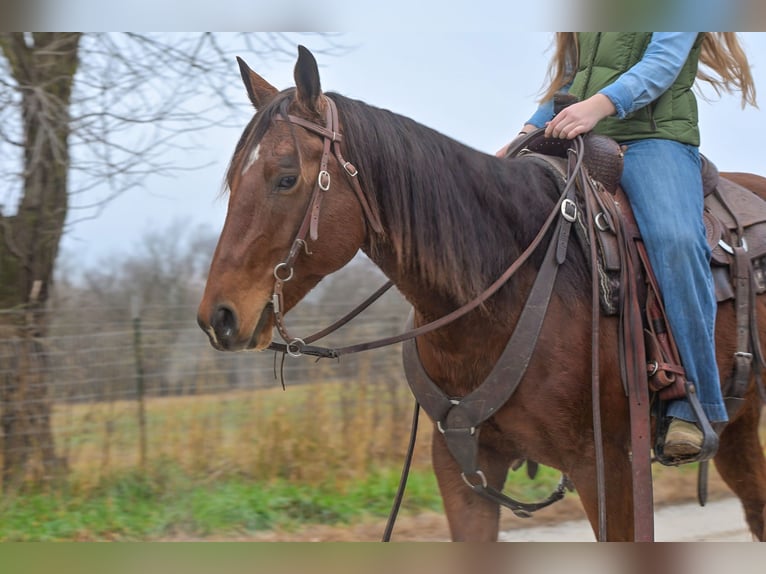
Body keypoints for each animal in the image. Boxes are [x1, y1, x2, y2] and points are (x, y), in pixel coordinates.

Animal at [197, 45, 766, 541]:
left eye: (286, 178)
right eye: (233, 180)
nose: (217, 317)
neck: (503, 292)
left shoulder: (607, 468)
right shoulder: (462, 468)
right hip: (738, 429)